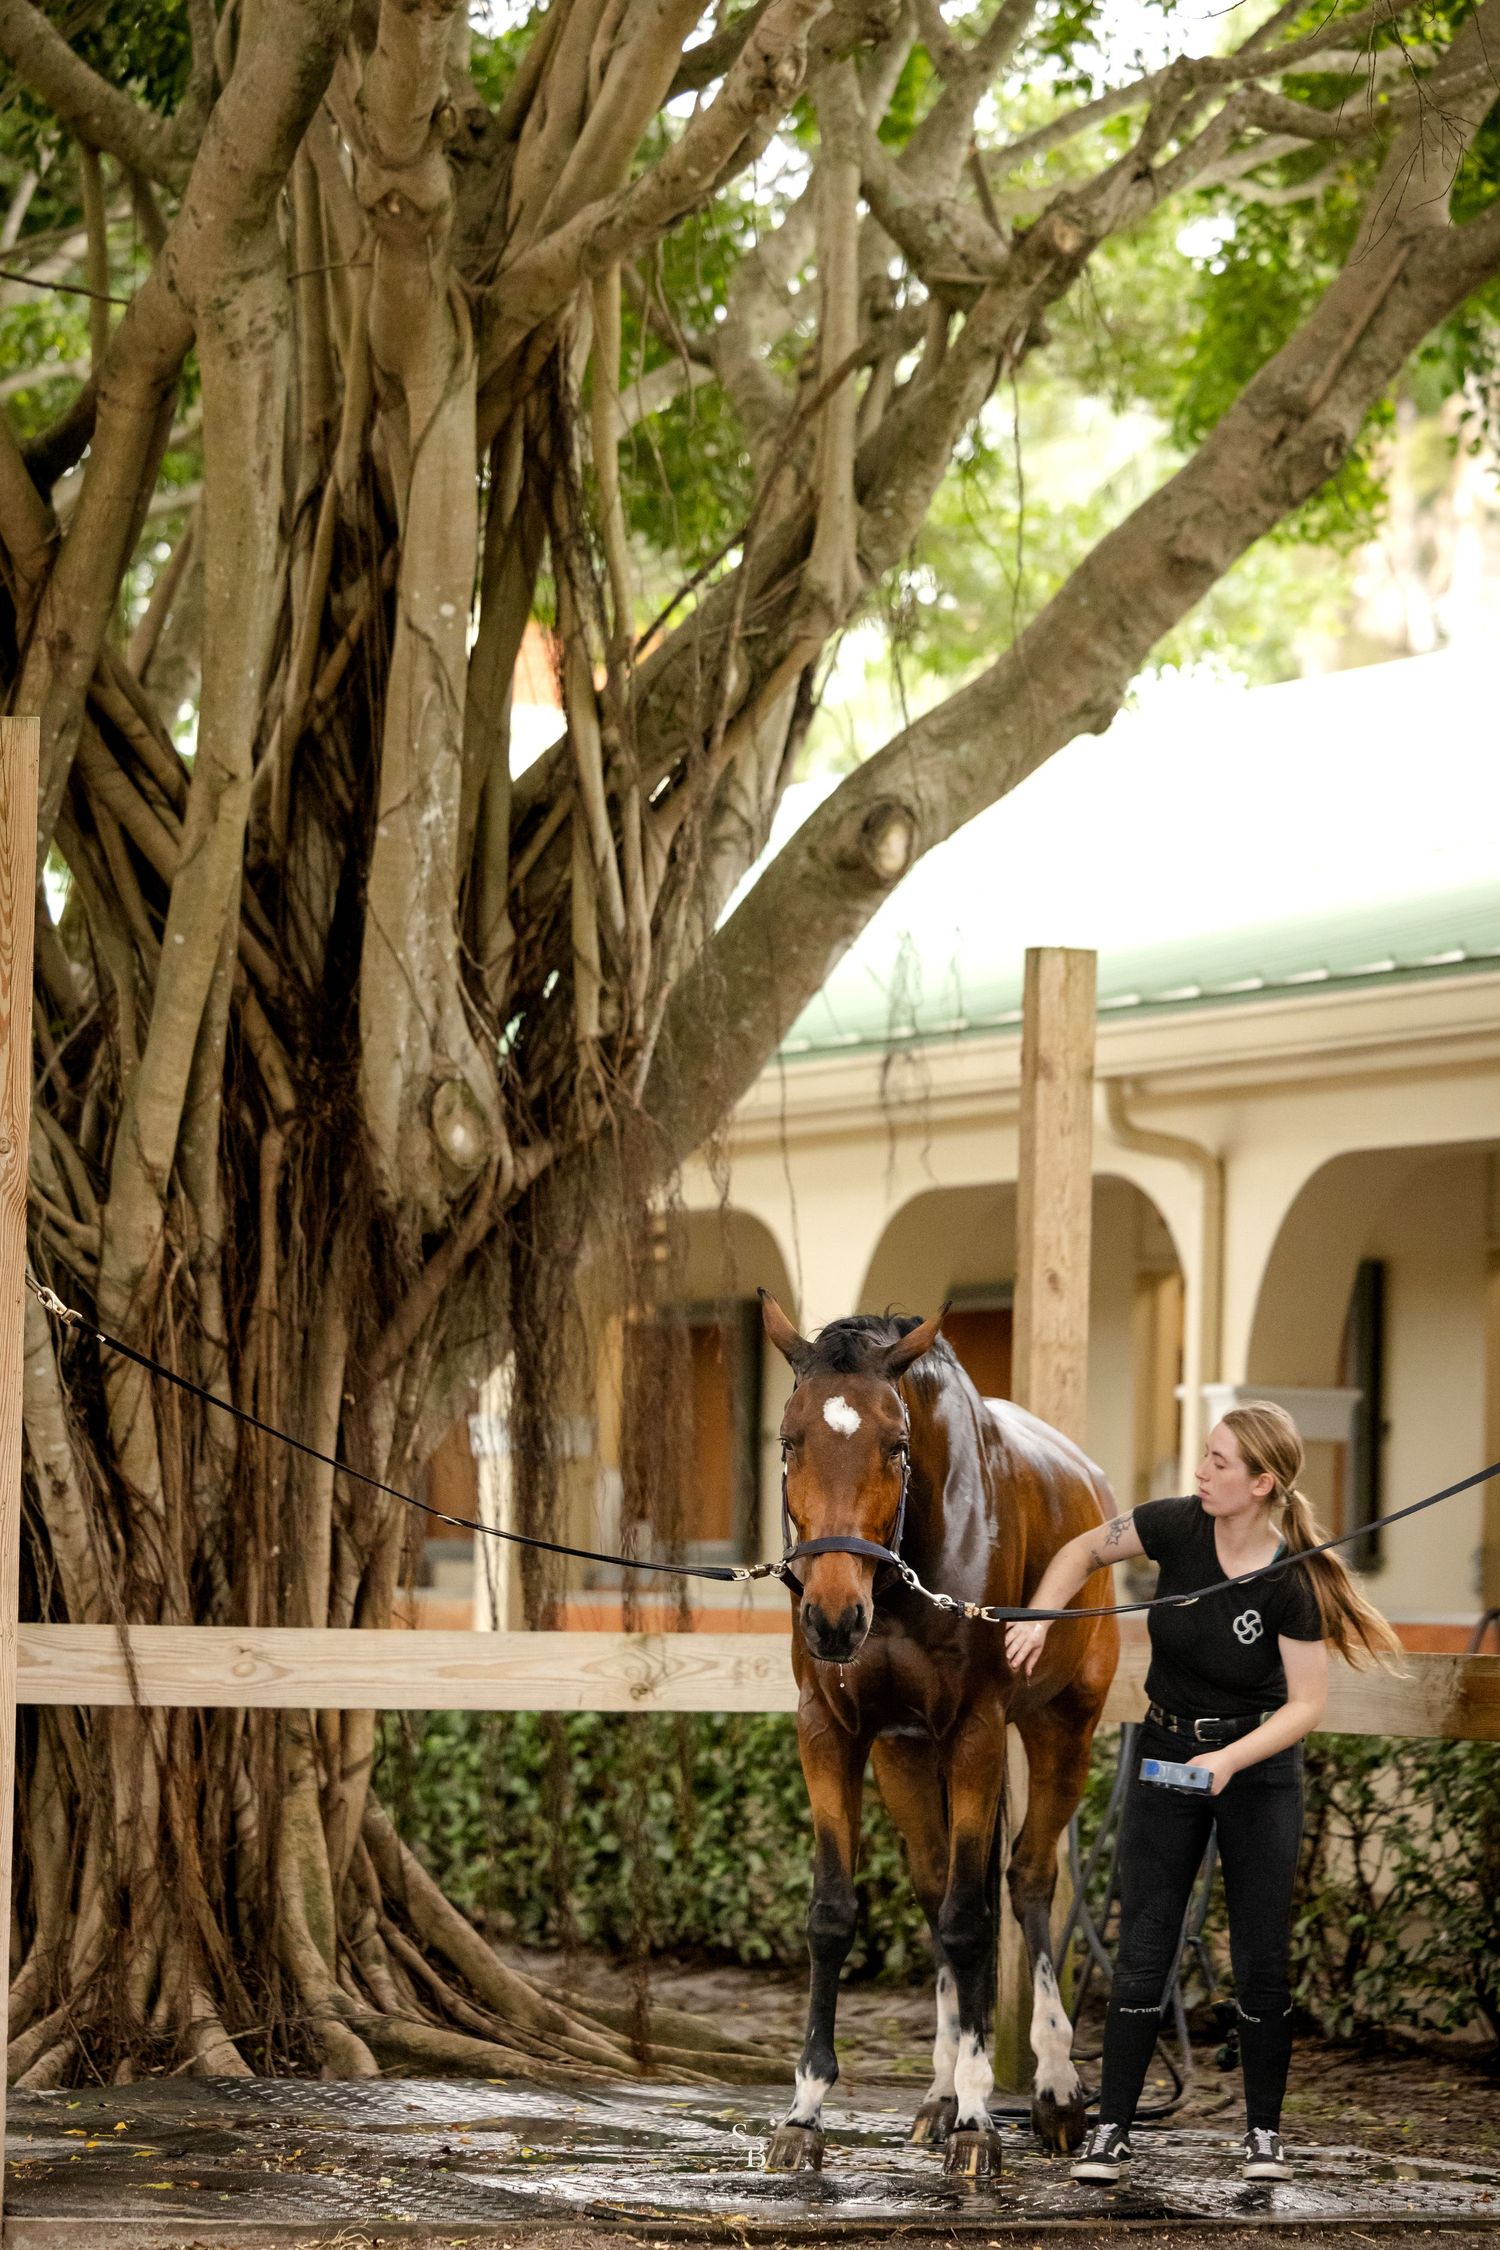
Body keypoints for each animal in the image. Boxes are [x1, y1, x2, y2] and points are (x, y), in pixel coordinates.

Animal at [758, 1293, 1119, 2181]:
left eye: (895, 1444)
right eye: (789, 1440)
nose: (832, 1617)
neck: (896, 1585)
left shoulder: (977, 1732)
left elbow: (970, 1919)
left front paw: (981, 2121)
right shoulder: (832, 1732)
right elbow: (835, 1913)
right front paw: (806, 2112)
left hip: (1063, 1729)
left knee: (1026, 1881)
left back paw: (1053, 2089)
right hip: (905, 1755)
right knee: (934, 1886)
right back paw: (940, 2092)